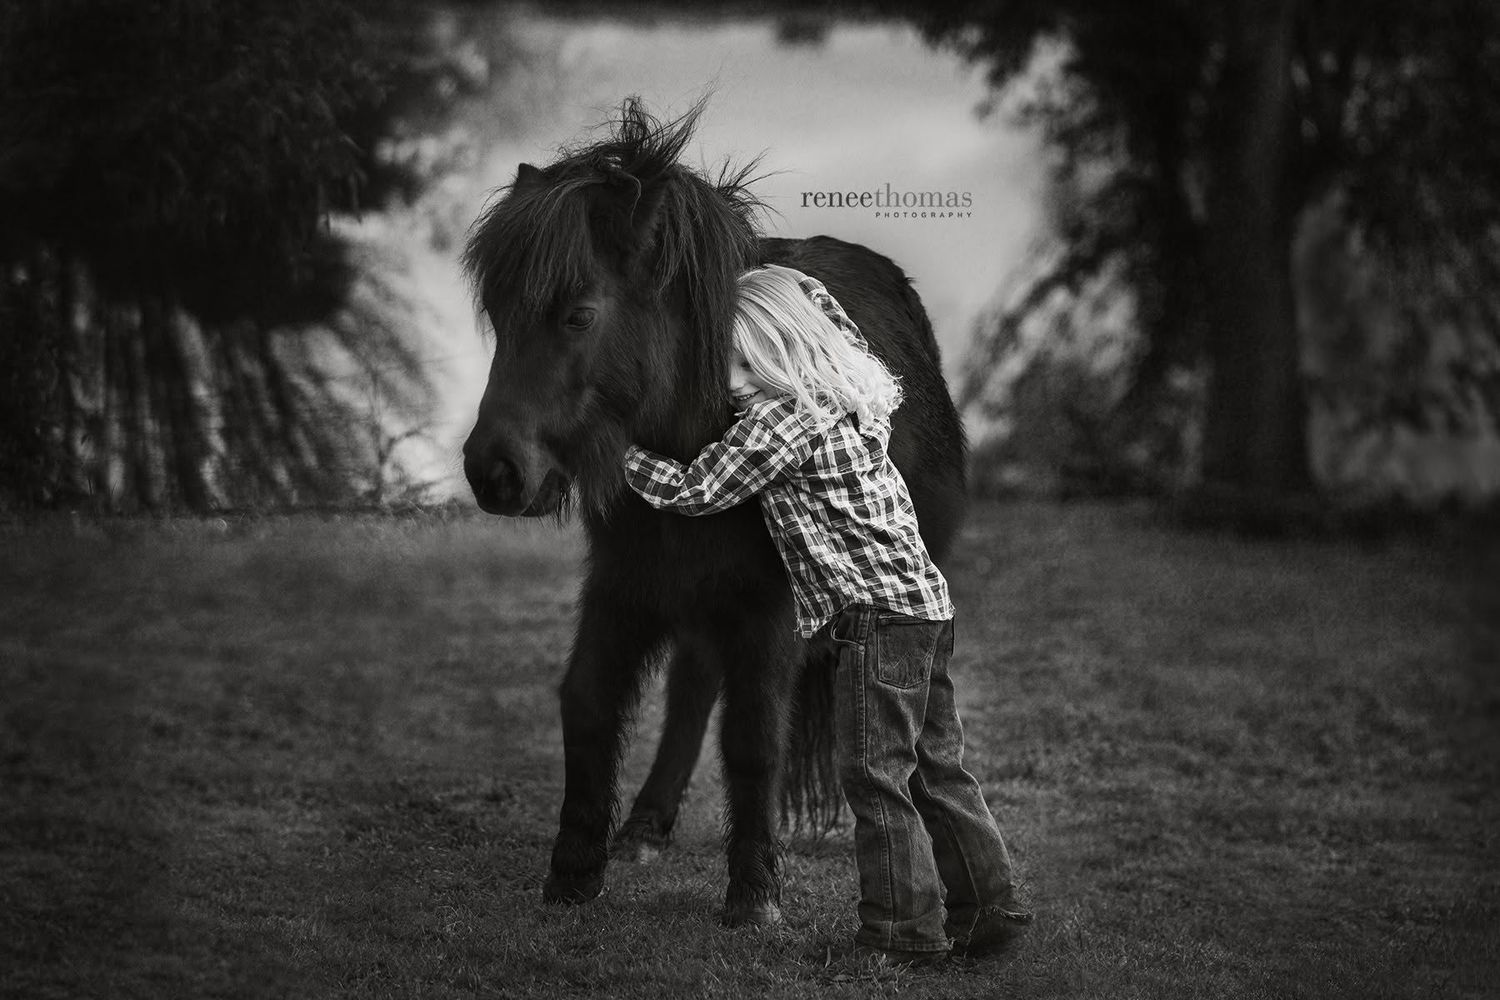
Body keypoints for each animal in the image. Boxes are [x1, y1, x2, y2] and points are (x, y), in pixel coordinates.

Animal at [461, 98, 967, 927]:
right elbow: (590, 702)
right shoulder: (624, 584)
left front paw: (754, 894)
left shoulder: (767, 608)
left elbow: (754, 735)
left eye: (578, 315)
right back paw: (644, 826)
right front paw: (574, 868)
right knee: (693, 687)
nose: (494, 473)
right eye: (501, 317)